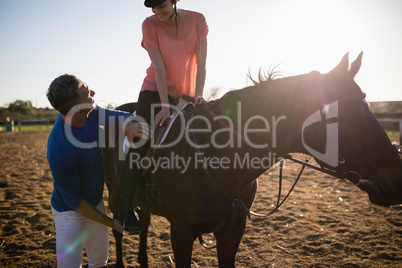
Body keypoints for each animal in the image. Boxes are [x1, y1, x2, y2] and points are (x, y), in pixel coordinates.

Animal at [103, 52, 402, 268]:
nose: (396, 177)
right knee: (118, 228)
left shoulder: (232, 232)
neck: (216, 160)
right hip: (115, 194)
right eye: (351, 115)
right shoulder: (181, 232)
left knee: (144, 225)